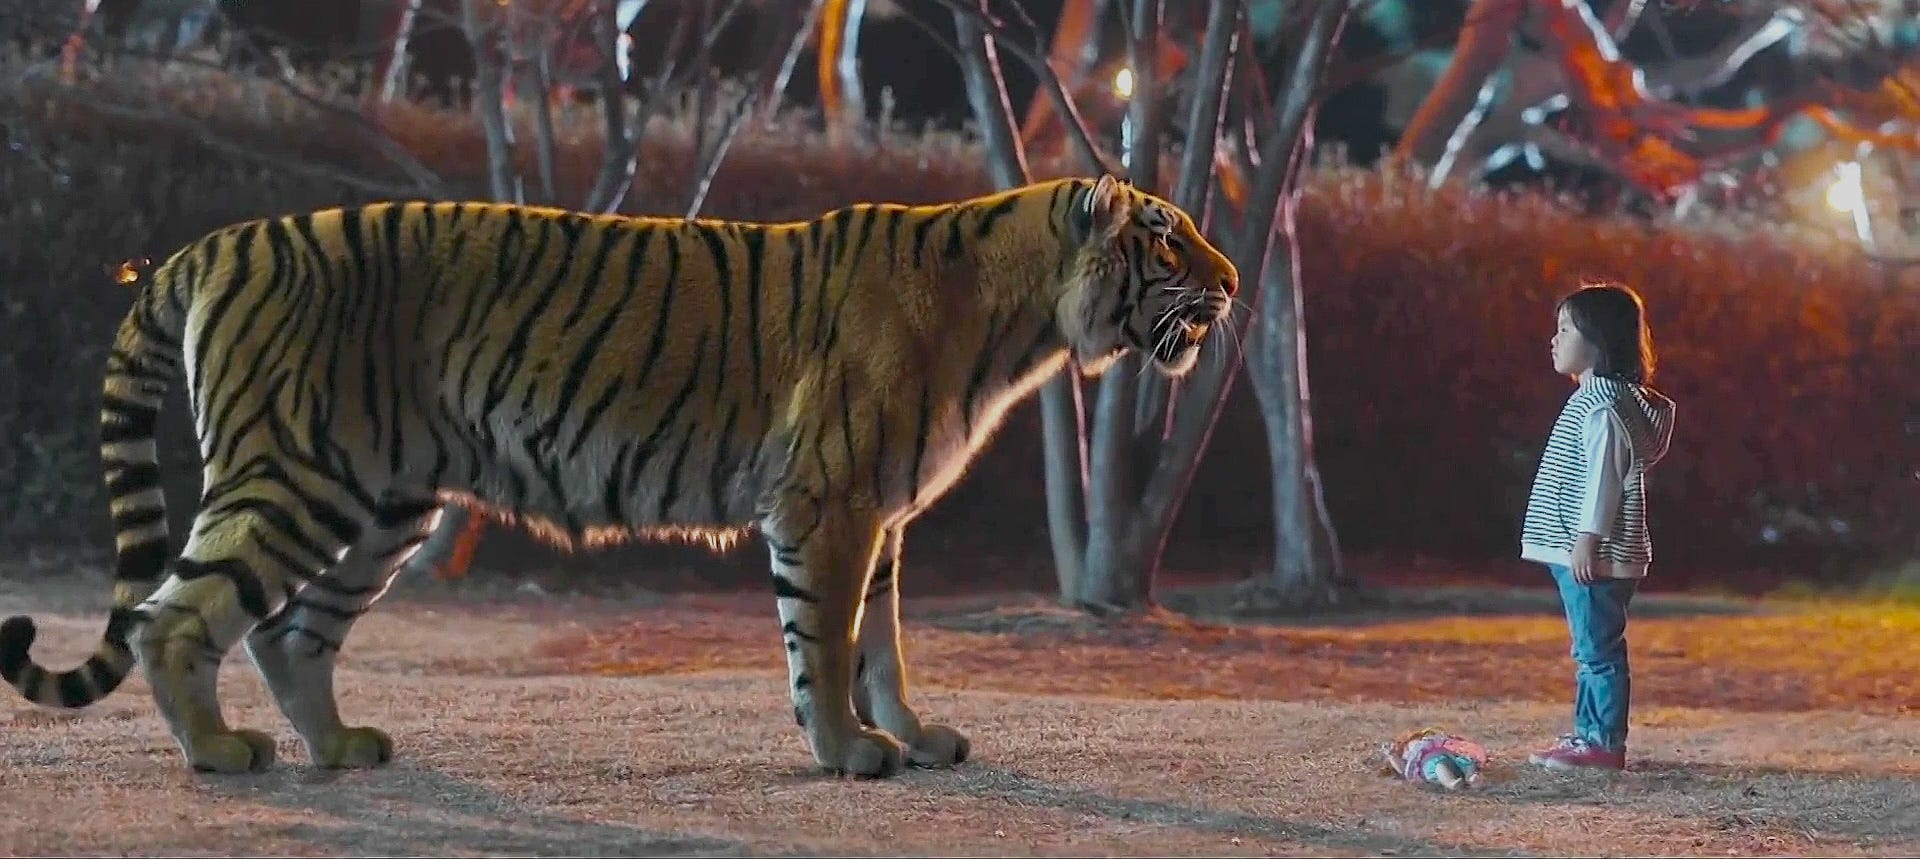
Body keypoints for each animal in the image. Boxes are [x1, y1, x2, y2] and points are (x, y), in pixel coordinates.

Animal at [0, 171, 1236, 784]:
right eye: (1168, 240)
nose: (1230, 285)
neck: (1015, 318)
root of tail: (213, 242)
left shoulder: (881, 512)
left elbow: (883, 643)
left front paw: (916, 736)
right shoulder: (829, 501)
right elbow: (827, 641)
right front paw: (848, 752)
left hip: (382, 500)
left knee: (291, 631)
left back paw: (341, 748)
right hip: (294, 471)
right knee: (175, 616)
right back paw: (218, 755)